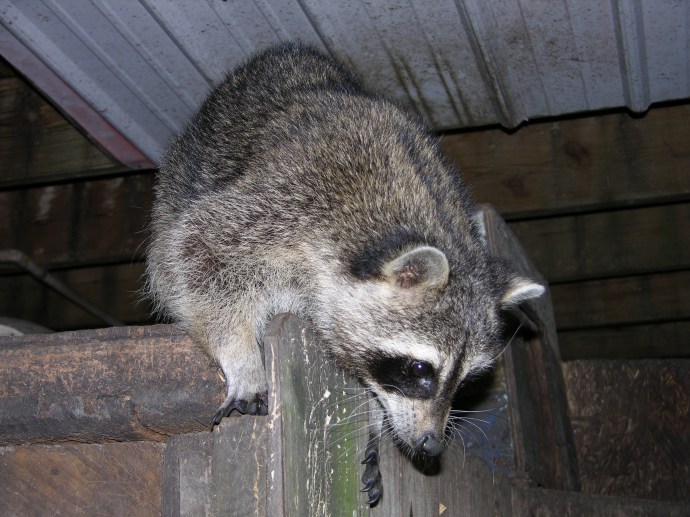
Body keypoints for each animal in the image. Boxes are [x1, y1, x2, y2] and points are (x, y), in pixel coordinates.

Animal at [146, 43, 543, 505]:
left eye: (467, 380)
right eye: (420, 370)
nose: (431, 444)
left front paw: (375, 415)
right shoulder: (282, 202)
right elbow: (194, 253)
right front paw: (241, 355)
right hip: (183, 172)